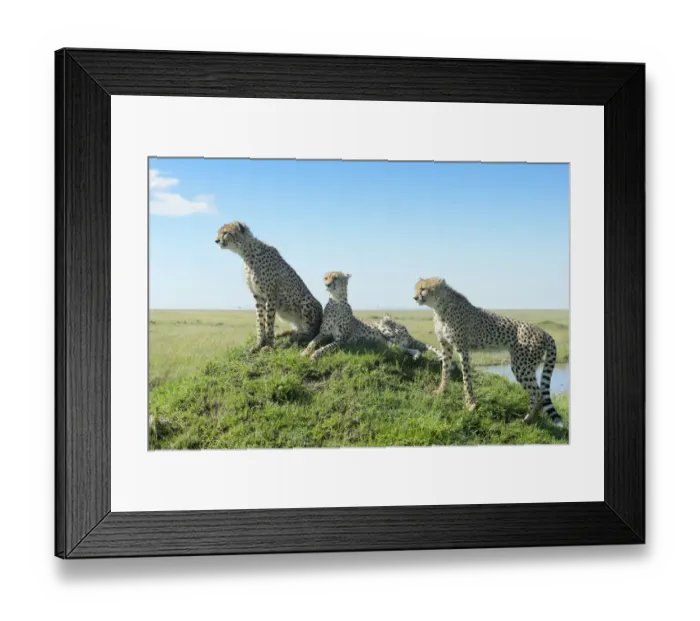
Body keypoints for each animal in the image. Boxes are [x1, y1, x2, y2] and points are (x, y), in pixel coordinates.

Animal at [216, 221, 323, 352]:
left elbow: (269, 321)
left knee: (311, 333)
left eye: (225, 232)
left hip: (306, 302)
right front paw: (259, 344)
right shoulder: (258, 296)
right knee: (299, 328)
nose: (216, 240)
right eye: (219, 232)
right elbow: (260, 321)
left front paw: (269, 345)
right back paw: (284, 333)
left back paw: (298, 336)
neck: (247, 253)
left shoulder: (270, 295)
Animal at [413, 277, 564, 427]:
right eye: (416, 288)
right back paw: (532, 419)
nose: (414, 297)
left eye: (423, 289)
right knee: (536, 394)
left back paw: (528, 419)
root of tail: (543, 332)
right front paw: (441, 391)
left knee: (538, 394)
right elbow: (445, 370)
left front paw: (470, 404)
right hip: (525, 367)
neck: (439, 307)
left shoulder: (463, 349)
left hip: (522, 367)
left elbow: (466, 378)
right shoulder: (446, 347)